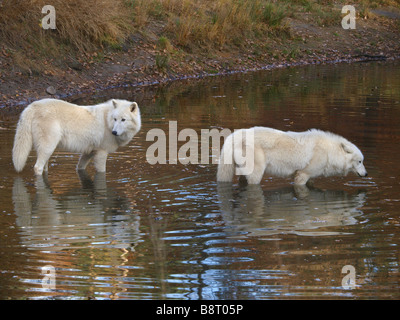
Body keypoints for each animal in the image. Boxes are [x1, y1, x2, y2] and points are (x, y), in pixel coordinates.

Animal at [12, 99, 141, 176]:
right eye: (115, 119)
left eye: (123, 120)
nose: (114, 132)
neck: (107, 120)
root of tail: (31, 106)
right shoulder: (101, 153)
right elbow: (102, 172)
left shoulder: (88, 152)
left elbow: (80, 167)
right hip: (48, 147)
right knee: (37, 167)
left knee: (44, 167)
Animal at [217, 125, 368, 184]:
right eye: (360, 161)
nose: (366, 174)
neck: (330, 152)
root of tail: (233, 136)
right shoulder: (302, 175)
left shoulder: (311, 176)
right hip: (256, 173)